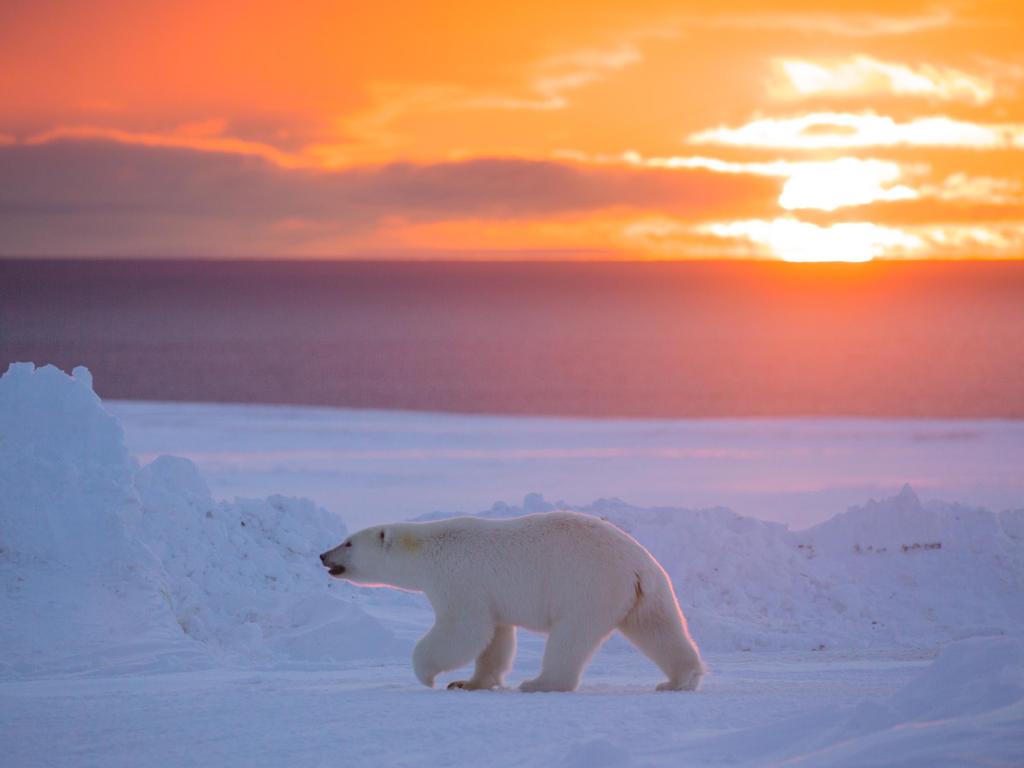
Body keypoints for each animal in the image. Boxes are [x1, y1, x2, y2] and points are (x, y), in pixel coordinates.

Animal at [319, 514, 704, 696]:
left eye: (348, 542)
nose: (323, 555)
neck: (427, 549)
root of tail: (638, 565)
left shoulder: (459, 579)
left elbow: (464, 629)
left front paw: (427, 675)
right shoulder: (491, 595)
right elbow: (495, 637)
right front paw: (468, 683)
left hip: (587, 587)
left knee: (570, 637)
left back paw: (540, 682)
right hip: (646, 594)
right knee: (660, 629)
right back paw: (680, 680)